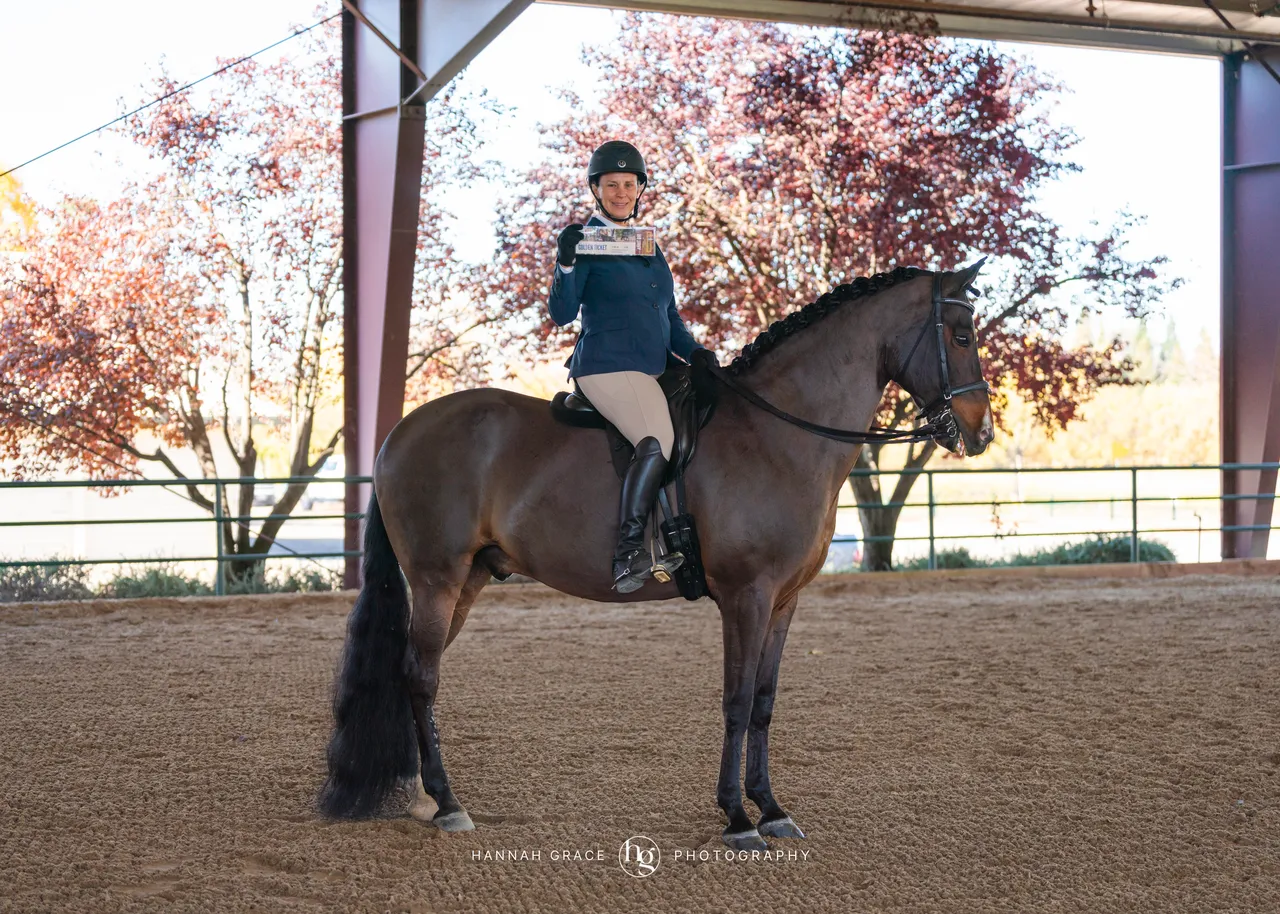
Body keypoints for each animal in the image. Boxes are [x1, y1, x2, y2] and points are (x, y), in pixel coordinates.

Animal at [319, 262, 994, 851]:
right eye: (960, 335)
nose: (980, 430)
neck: (779, 436)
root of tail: (398, 434)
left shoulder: (784, 601)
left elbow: (765, 702)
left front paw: (772, 810)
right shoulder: (745, 596)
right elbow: (736, 700)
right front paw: (736, 818)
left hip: (469, 579)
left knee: (411, 673)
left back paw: (421, 796)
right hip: (437, 579)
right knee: (421, 676)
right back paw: (448, 803)